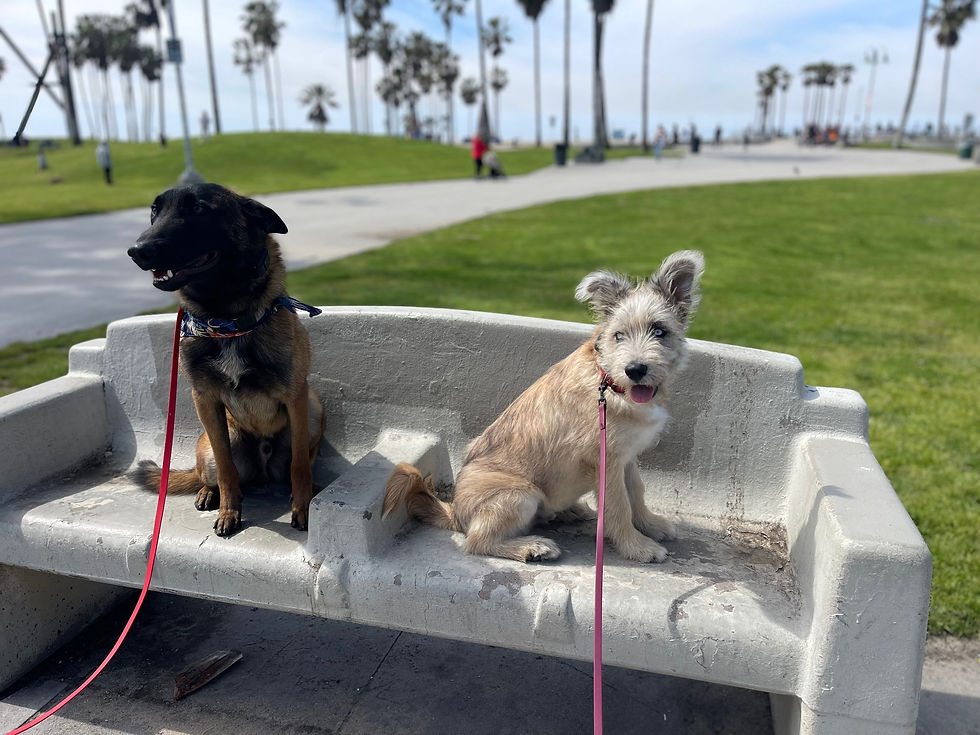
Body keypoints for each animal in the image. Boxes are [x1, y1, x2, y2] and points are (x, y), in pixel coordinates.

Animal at [128, 182, 325, 537]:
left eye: (198, 209)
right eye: (154, 211)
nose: (138, 250)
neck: (227, 321)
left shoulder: (296, 396)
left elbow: (300, 465)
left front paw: (303, 508)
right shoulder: (205, 400)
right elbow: (225, 467)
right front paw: (229, 511)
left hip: (314, 408)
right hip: (214, 442)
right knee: (210, 472)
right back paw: (209, 493)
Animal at [383, 250, 704, 563]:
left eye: (659, 331)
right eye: (619, 335)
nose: (635, 370)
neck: (609, 381)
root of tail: (456, 513)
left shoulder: (625, 456)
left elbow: (636, 492)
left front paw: (650, 525)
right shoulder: (605, 461)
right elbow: (618, 506)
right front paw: (637, 547)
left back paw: (571, 511)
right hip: (519, 496)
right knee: (477, 542)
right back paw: (533, 547)